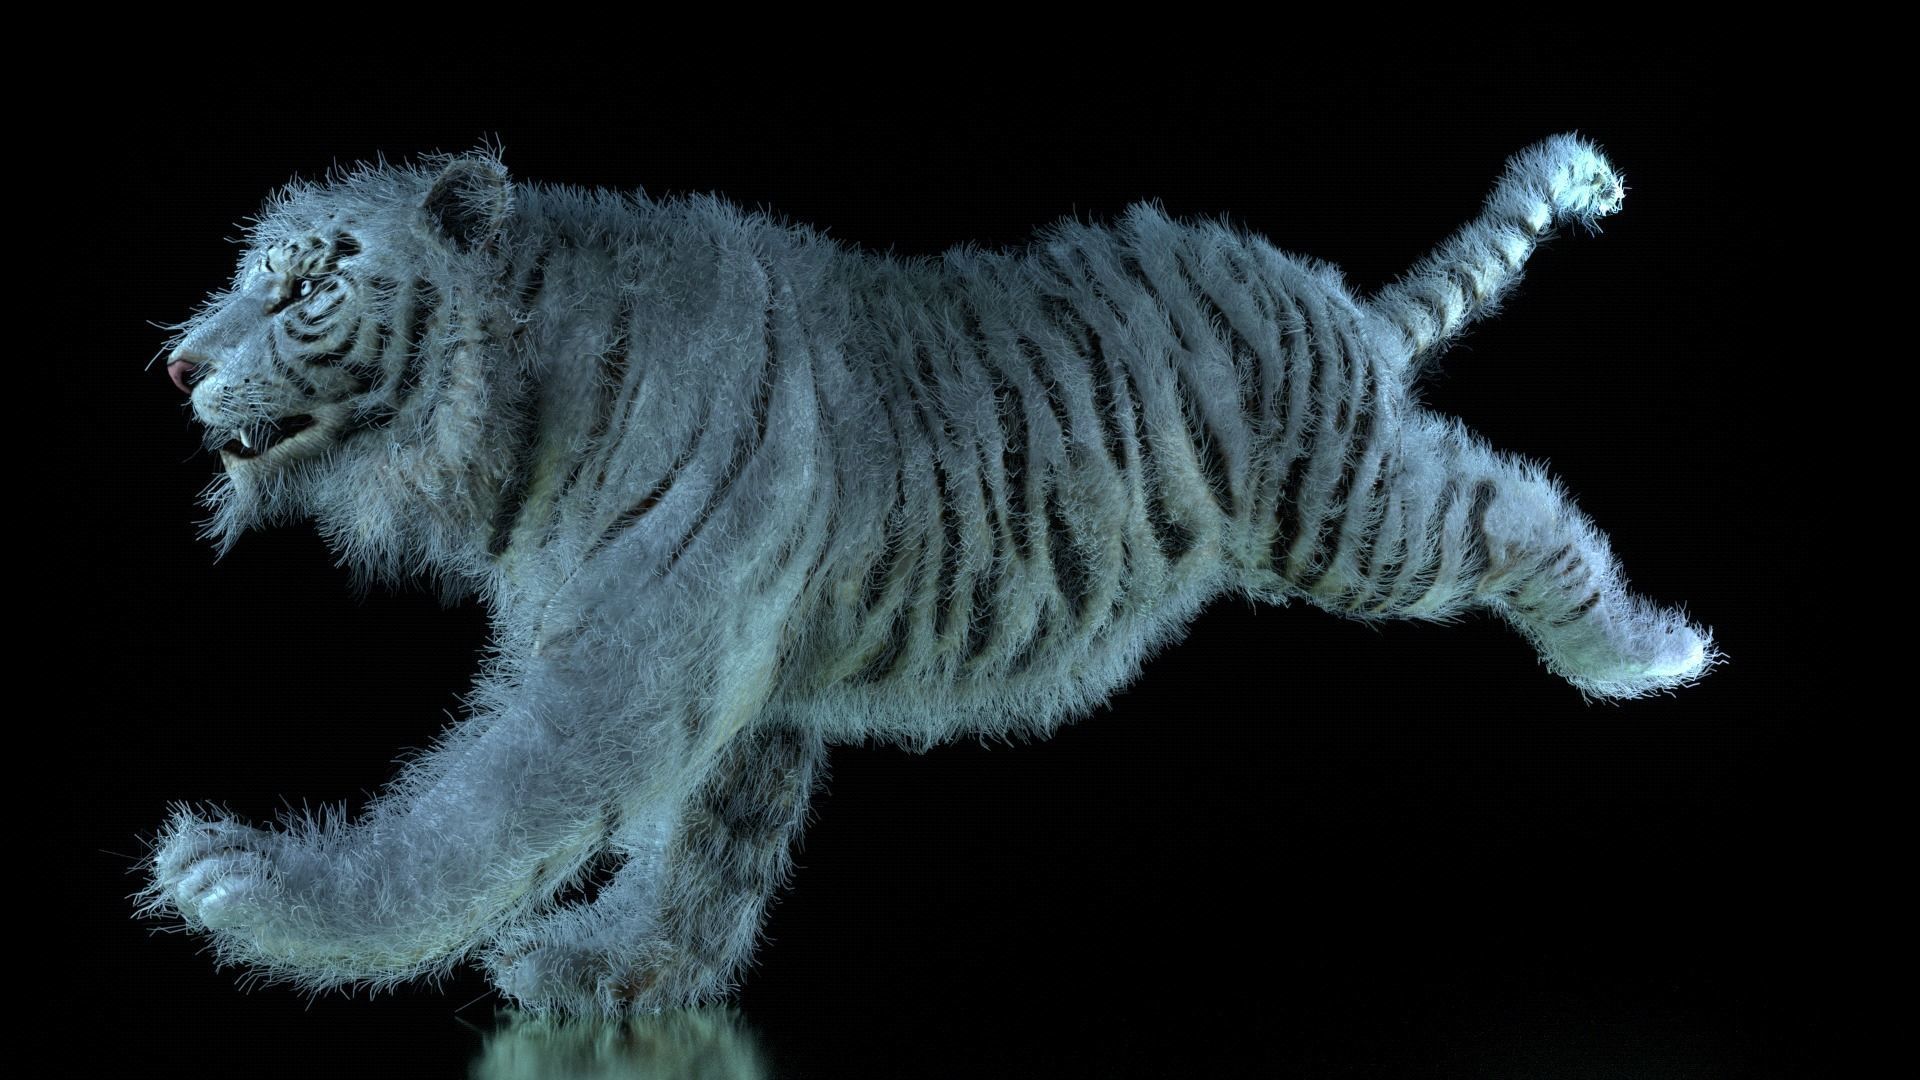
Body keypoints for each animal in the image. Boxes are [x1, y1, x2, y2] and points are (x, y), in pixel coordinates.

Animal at [139, 134, 1718, 1014]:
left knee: (1514, 509)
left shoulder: (619, 675)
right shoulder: (739, 688)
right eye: (247, 275)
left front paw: (249, 888)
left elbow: (465, 822)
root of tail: (1319, 289)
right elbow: (701, 861)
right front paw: (616, 979)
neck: (516, 417)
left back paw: (1645, 651)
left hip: (1352, 516)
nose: (176, 364)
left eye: (306, 285)